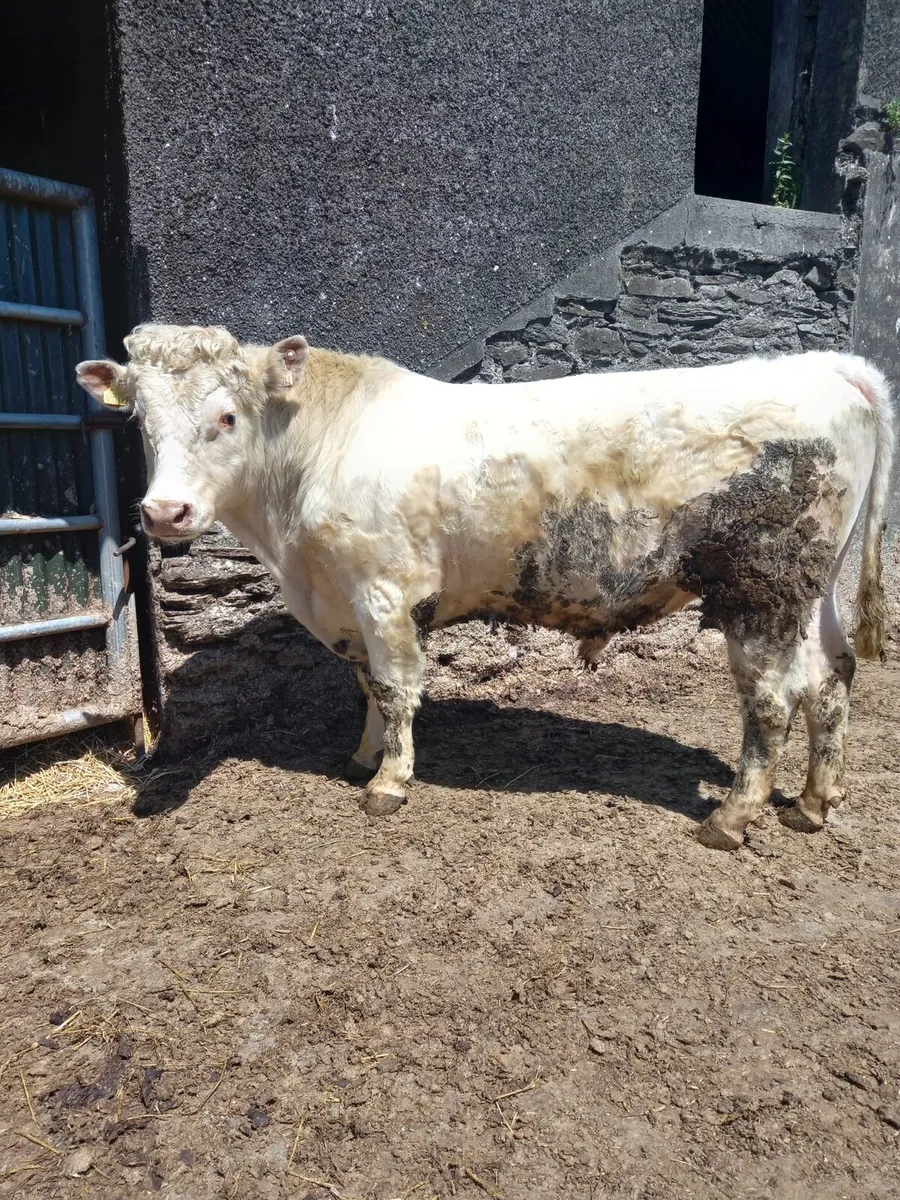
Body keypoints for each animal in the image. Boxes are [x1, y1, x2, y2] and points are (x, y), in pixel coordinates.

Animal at [76, 325, 894, 850]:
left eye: (226, 415)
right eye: (141, 420)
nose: (164, 512)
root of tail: (826, 366)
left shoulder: (385, 589)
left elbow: (396, 688)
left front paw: (389, 783)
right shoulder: (348, 601)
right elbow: (367, 684)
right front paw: (363, 755)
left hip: (761, 591)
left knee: (773, 701)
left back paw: (731, 818)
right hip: (809, 591)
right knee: (832, 677)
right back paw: (812, 804)